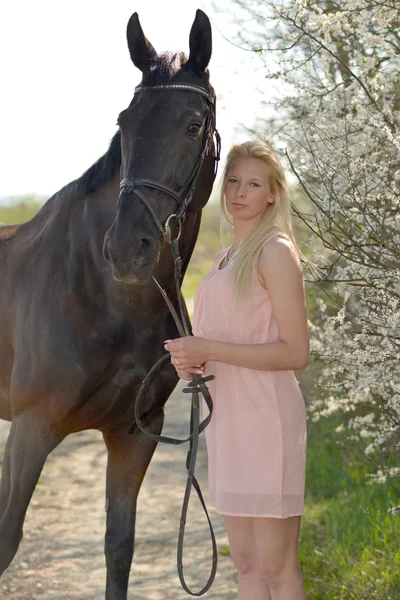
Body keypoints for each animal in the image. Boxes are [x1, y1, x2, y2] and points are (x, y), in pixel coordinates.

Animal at [0, 10, 219, 600]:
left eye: (194, 125)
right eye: (124, 122)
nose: (125, 250)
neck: (106, 297)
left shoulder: (133, 433)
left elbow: (119, 546)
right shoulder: (31, 429)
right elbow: (7, 538)